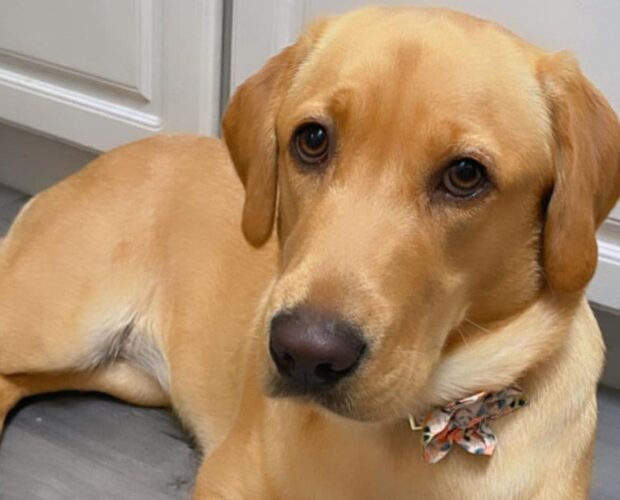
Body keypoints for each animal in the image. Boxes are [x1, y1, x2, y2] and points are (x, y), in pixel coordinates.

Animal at [1, 5, 620, 498]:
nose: (303, 353)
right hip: (51, 325)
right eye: (313, 139)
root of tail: (90, 165)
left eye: (466, 175)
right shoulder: (225, 480)